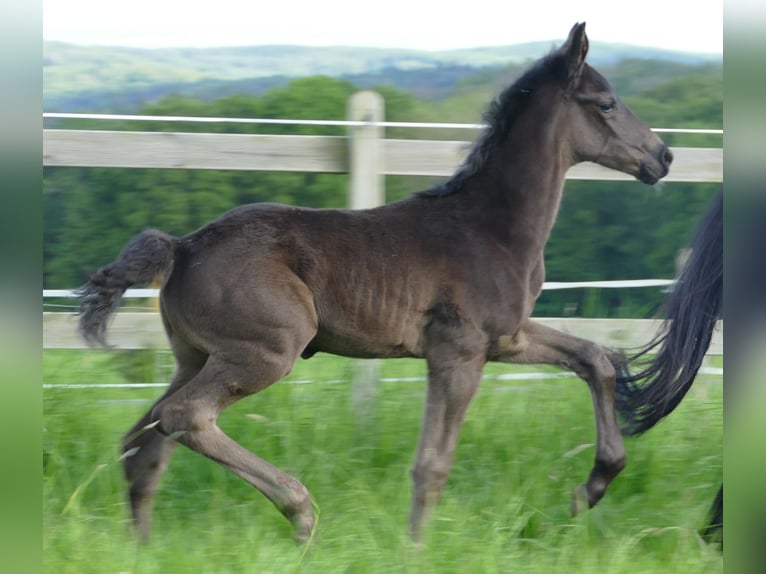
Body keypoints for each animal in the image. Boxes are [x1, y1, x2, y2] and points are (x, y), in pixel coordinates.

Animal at [76, 23, 672, 544]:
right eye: (607, 103)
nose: (662, 156)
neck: (492, 228)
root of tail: (182, 247)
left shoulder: (507, 339)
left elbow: (596, 358)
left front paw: (591, 486)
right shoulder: (458, 354)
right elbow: (432, 464)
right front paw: (415, 549)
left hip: (195, 356)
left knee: (145, 442)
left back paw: (144, 548)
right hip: (265, 351)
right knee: (183, 417)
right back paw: (300, 511)